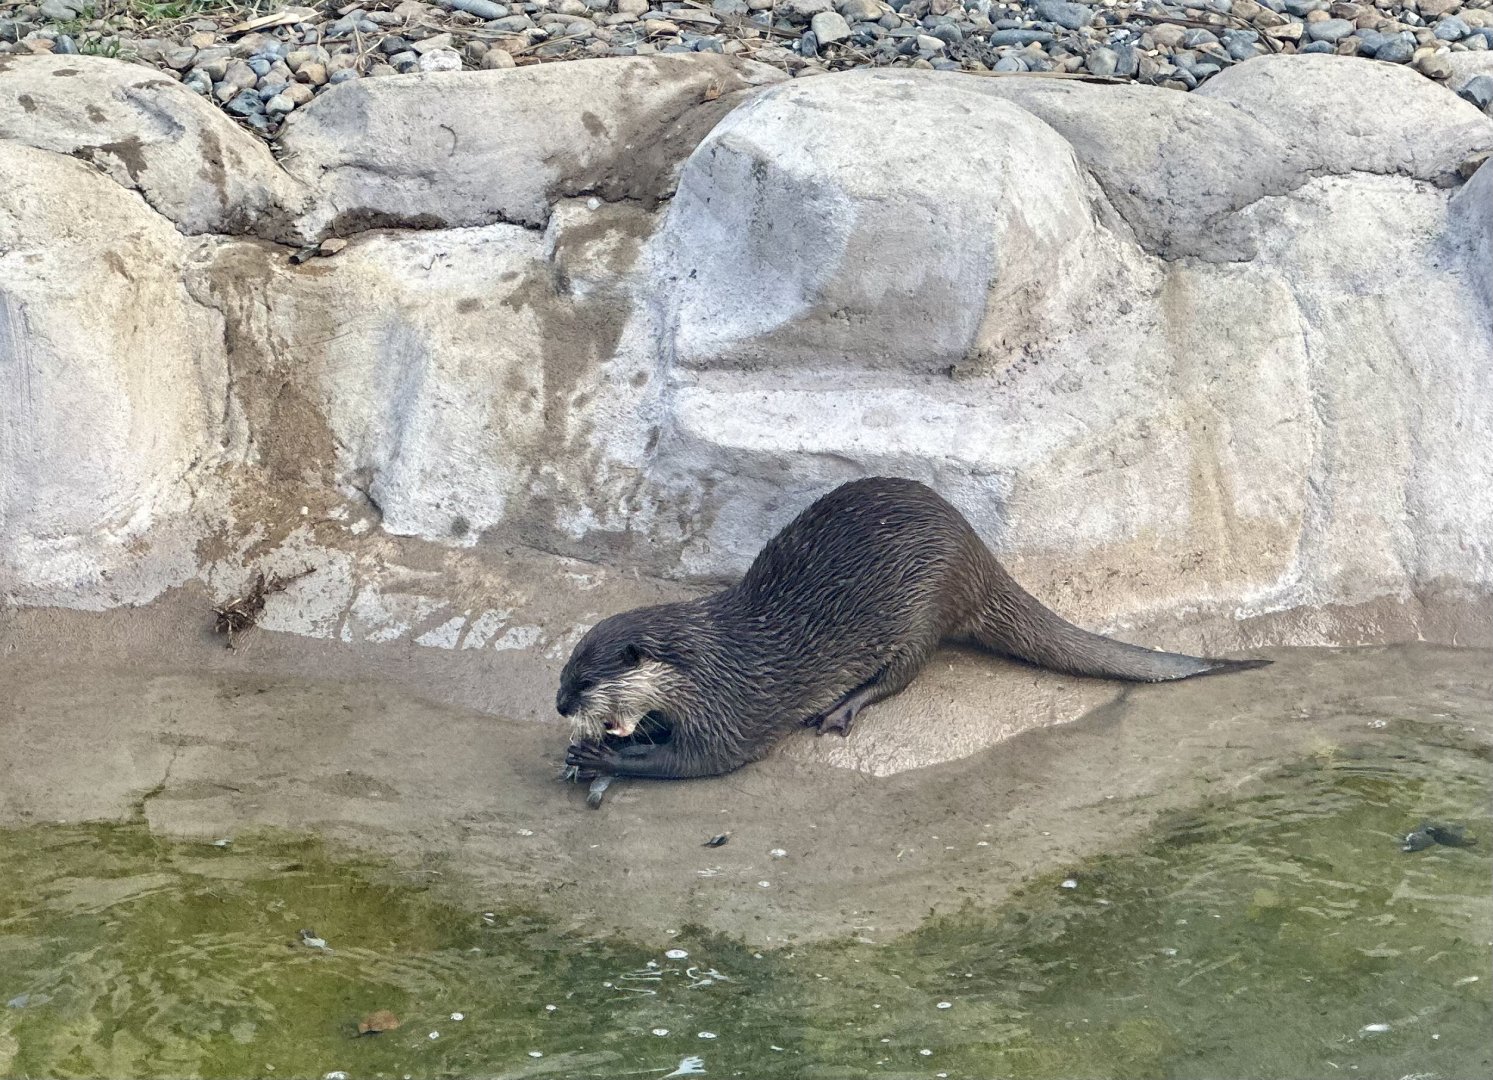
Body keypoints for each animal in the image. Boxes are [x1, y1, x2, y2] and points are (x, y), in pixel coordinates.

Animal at [560, 476, 1269, 784]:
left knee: (902, 675)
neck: (710, 662)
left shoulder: (730, 709)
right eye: (566, 672)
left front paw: (599, 755)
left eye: (587, 681)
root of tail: (979, 555)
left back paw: (843, 708)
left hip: (922, 608)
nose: (562, 704)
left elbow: (697, 760)